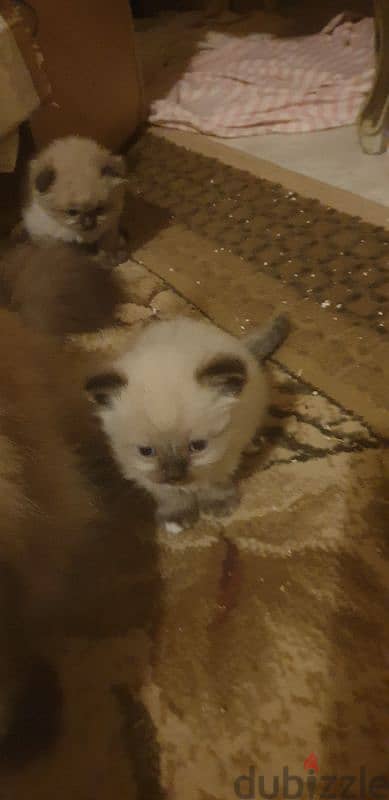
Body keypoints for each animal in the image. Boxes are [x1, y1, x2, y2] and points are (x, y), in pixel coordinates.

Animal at [87, 316, 288, 536]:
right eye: (146, 452)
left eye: (198, 447)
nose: (175, 476)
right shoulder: (141, 470)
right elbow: (169, 493)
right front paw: (176, 516)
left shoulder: (221, 457)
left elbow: (213, 483)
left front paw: (218, 504)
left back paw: (254, 444)